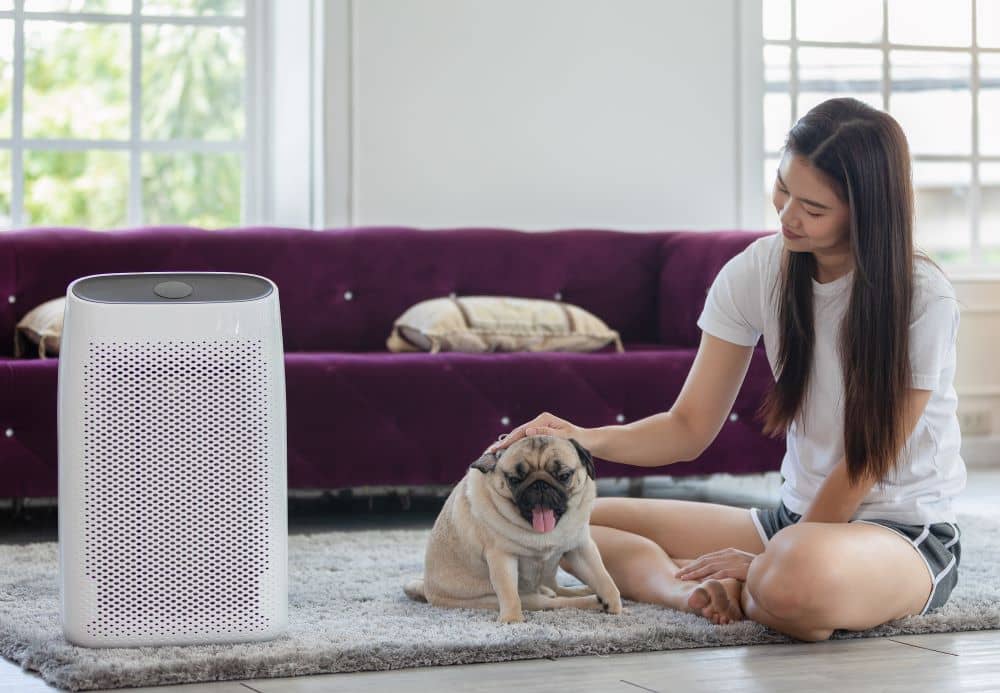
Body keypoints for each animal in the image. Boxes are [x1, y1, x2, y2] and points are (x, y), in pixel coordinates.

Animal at [402, 436, 620, 624]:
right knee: (552, 600)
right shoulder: (502, 556)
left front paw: (615, 604)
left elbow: (603, 577)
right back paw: (591, 600)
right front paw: (512, 620)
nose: (540, 485)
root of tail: (427, 590)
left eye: (564, 476)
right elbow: (508, 592)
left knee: (557, 589)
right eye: (515, 480)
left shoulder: (580, 547)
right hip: (512, 598)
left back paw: (586, 593)